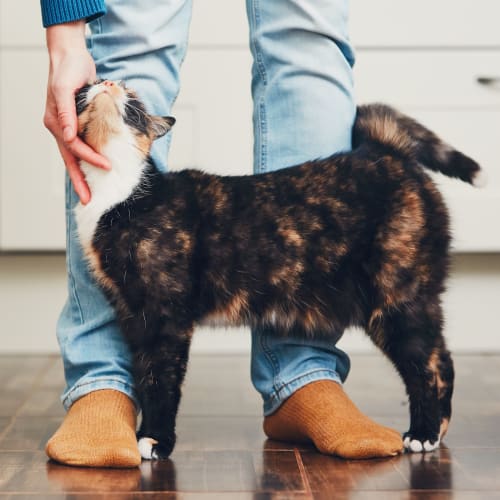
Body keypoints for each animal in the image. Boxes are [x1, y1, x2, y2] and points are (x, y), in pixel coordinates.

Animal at [73, 79, 480, 460]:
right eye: (88, 87)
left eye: (134, 101)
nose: (107, 82)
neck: (119, 194)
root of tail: (385, 151)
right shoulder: (133, 315)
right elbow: (145, 376)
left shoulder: (165, 316)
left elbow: (162, 380)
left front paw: (156, 440)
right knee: (439, 358)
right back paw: (436, 430)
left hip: (397, 298)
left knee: (429, 364)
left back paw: (424, 433)